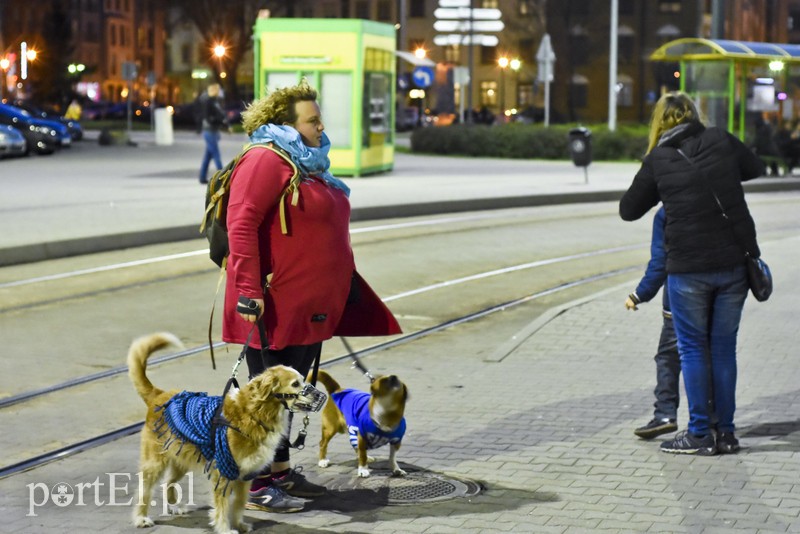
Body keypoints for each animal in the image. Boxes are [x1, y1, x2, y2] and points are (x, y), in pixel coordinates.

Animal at [128, 336, 322, 534]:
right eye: (295, 384)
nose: (318, 395)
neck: (254, 413)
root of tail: (159, 395)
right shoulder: (224, 471)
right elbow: (222, 506)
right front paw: (224, 528)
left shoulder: (246, 474)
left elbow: (239, 504)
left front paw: (239, 524)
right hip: (155, 462)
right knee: (144, 489)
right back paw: (141, 518)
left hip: (181, 459)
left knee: (168, 482)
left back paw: (175, 506)